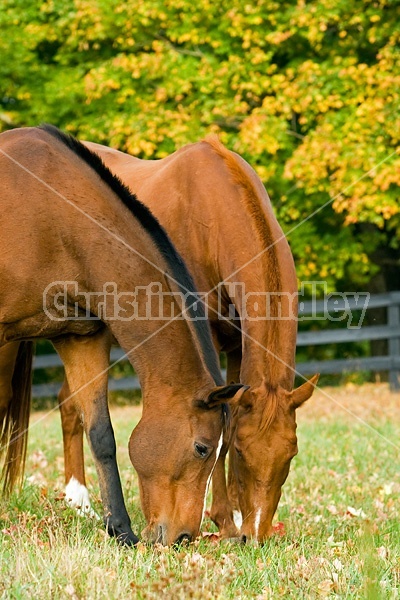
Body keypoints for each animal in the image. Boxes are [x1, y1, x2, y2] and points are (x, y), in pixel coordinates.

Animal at [0, 125, 247, 544]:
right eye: (201, 448)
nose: (183, 537)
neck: (50, 216)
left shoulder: (82, 339)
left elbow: (101, 433)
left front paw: (120, 529)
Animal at [50, 138, 318, 540]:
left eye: (291, 454)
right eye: (243, 452)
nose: (255, 535)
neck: (213, 217)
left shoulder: (237, 349)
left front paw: (228, 518)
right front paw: (224, 520)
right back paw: (77, 499)